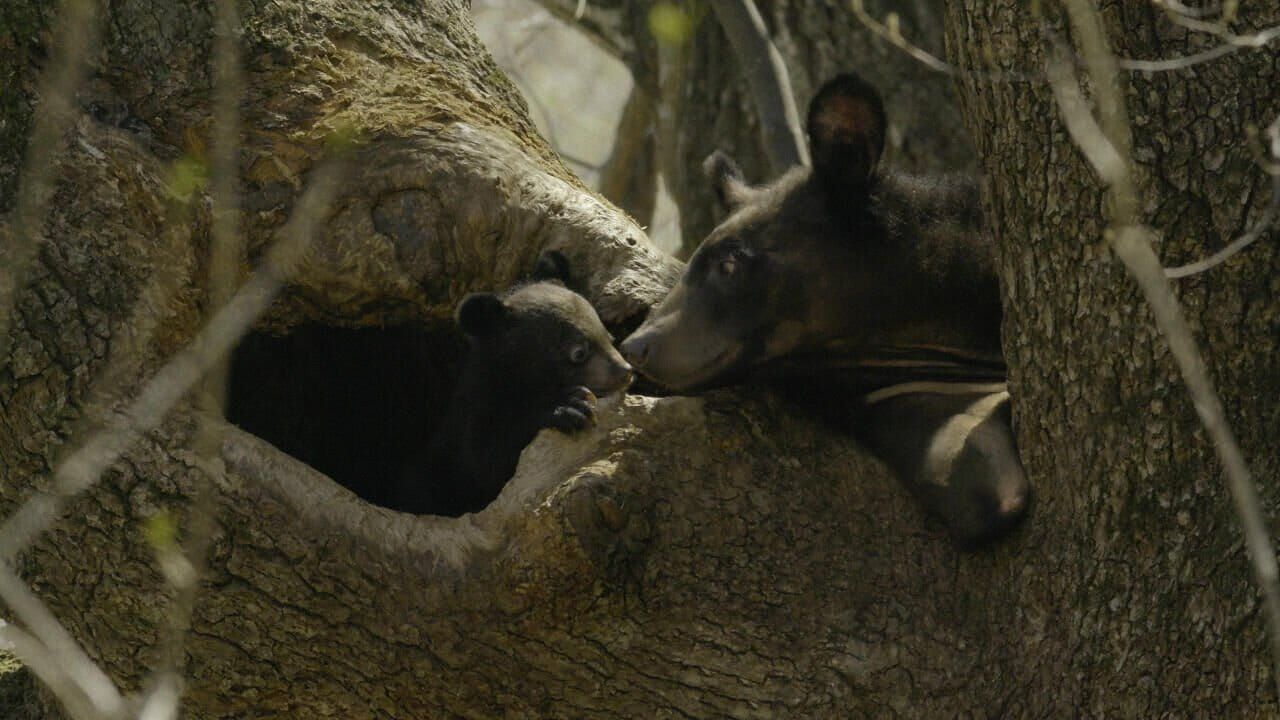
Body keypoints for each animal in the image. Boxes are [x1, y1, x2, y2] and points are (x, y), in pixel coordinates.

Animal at [396, 252, 634, 516]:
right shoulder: (474, 420)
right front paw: (571, 408)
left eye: (608, 336)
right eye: (578, 352)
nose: (625, 372)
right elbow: (488, 464)